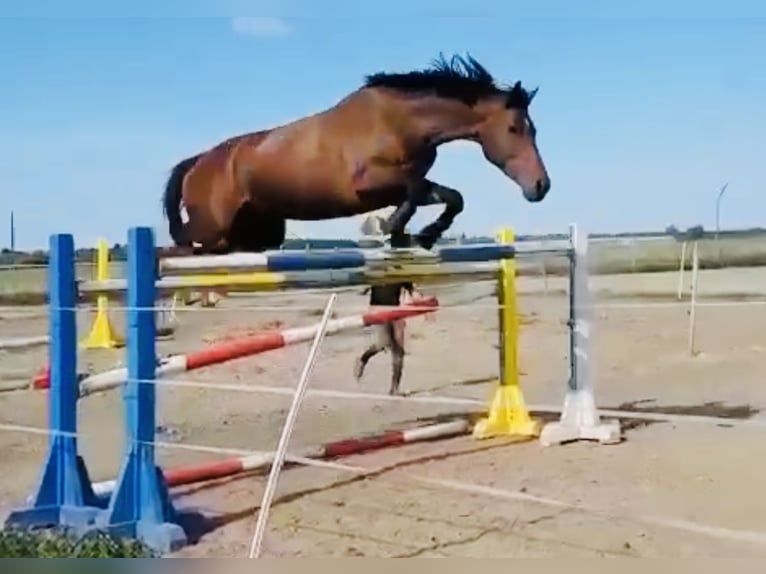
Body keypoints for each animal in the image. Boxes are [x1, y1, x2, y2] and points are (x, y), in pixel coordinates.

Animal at [160, 53, 552, 255]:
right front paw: (395, 228)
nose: (541, 186)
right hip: (211, 229)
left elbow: (449, 196)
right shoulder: (370, 184)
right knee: (180, 247)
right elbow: (415, 191)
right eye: (515, 129)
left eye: (534, 129)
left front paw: (422, 235)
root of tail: (198, 162)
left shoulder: (402, 185)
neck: (399, 122)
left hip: (253, 235)